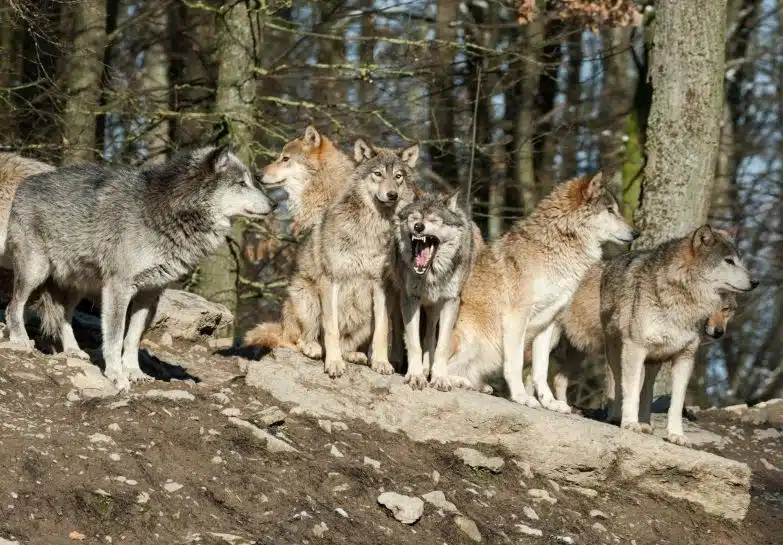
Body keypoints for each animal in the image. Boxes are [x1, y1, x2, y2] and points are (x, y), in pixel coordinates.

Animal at [5, 146, 273, 391]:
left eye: (250, 181)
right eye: (241, 183)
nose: (273, 203)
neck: (166, 211)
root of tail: (26, 183)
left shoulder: (150, 292)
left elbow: (132, 338)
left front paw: (135, 372)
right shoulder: (119, 288)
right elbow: (114, 339)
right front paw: (117, 377)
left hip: (78, 286)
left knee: (62, 315)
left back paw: (73, 350)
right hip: (36, 272)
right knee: (13, 307)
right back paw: (21, 341)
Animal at [314, 138, 418, 378]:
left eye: (398, 176)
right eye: (378, 174)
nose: (392, 195)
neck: (372, 226)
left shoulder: (381, 285)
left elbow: (382, 330)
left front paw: (381, 362)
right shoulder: (331, 278)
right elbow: (331, 328)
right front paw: (333, 363)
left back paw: (357, 356)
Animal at [394, 191, 479, 390]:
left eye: (434, 220)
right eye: (414, 217)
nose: (419, 226)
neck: (430, 275)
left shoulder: (450, 301)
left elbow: (441, 346)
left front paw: (440, 377)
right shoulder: (410, 299)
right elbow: (414, 343)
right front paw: (415, 375)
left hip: (435, 308)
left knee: (431, 335)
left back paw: (430, 369)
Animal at [446, 172, 638, 410]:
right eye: (610, 210)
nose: (636, 233)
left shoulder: (548, 324)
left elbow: (540, 370)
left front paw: (550, 402)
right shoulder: (517, 318)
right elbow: (516, 365)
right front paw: (521, 397)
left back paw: (478, 385)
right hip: (467, 338)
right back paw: (455, 381)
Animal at [600, 224, 757, 445]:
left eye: (740, 260)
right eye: (729, 261)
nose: (756, 281)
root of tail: (616, 259)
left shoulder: (685, 358)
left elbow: (676, 403)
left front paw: (676, 435)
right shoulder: (635, 349)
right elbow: (630, 391)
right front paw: (630, 423)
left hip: (654, 361)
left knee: (647, 389)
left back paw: (645, 423)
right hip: (618, 352)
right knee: (618, 382)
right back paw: (618, 417)